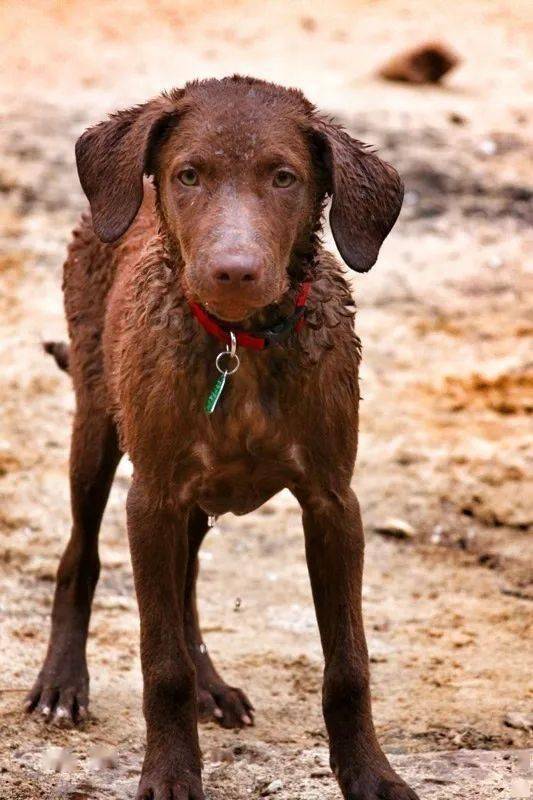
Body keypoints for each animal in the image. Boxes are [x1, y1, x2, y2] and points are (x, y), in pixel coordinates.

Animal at [27, 76, 416, 800]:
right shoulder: (152, 497)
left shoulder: (332, 502)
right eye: (189, 175)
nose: (233, 271)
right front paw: (171, 773)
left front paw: (370, 774)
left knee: (183, 588)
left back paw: (211, 686)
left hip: (198, 498)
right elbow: (162, 665)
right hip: (96, 427)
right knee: (80, 556)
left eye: (285, 177)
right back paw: (62, 684)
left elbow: (348, 666)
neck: (241, 344)